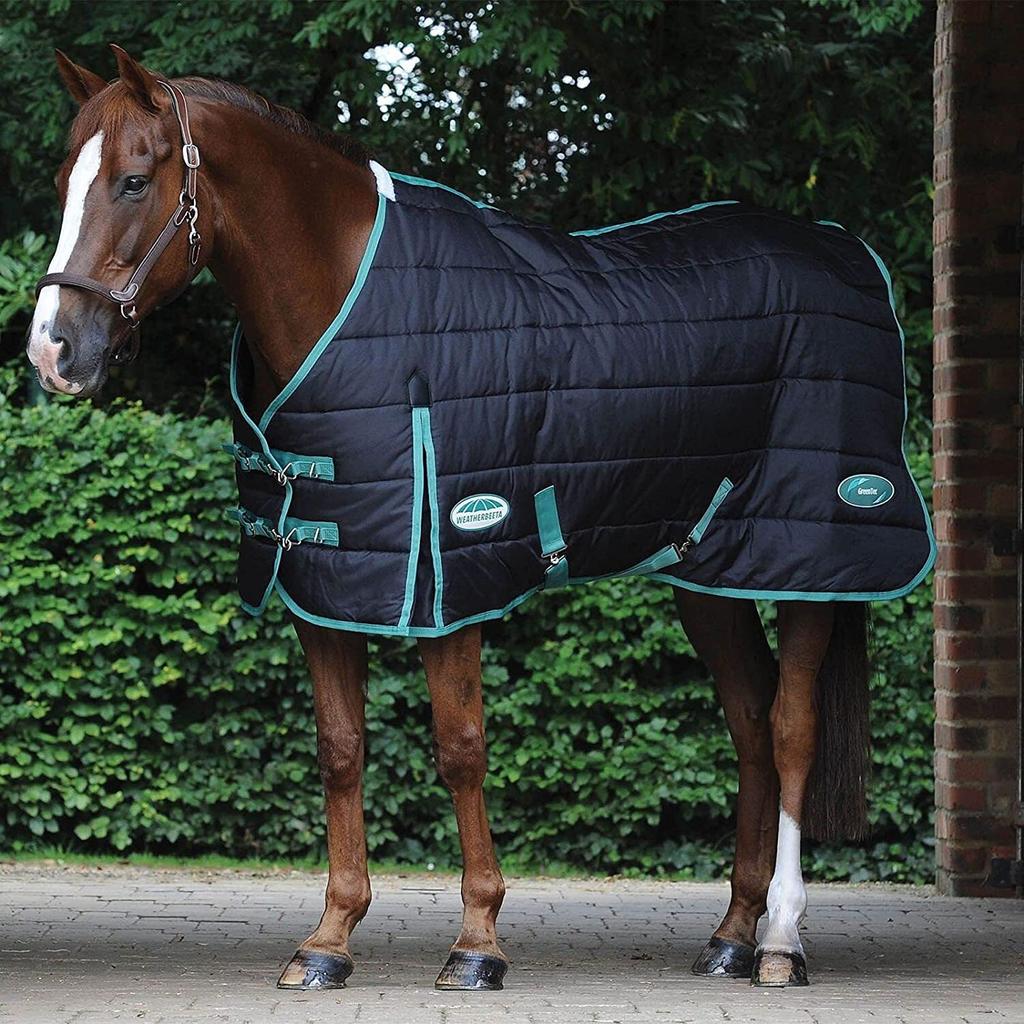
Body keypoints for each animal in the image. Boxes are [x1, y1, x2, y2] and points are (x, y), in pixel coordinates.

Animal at [28, 45, 933, 993]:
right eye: (61, 181)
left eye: (134, 181)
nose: (53, 350)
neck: (351, 300)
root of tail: (840, 249)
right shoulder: (325, 577)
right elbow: (340, 748)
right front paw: (328, 940)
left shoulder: (449, 577)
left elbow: (460, 746)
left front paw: (477, 943)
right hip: (709, 568)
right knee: (750, 721)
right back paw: (730, 935)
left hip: (811, 563)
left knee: (791, 730)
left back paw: (782, 943)